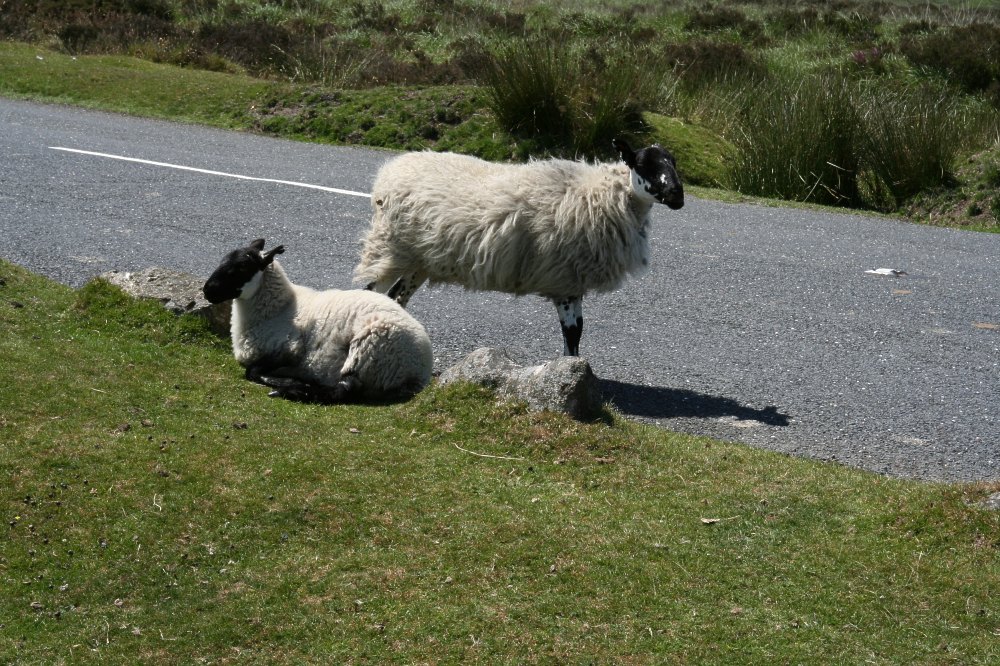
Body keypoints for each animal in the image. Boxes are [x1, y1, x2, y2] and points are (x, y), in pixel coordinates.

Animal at [203, 238, 433, 403]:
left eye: (242, 267)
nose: (207, 291)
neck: (279, 309)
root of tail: (420, 371)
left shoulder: (290, 350)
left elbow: (252, 371)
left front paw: (288, 382)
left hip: (370, 352)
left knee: (345, 389)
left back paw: (292, 391)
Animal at [353, 138, 683, 356]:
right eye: (642, 164)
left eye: (673, 163)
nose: (677, 196)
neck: (601, 194)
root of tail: (391, 168)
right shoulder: (564, 280)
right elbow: (573, 333)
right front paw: (571, 370)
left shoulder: (571, 280)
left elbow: (577, 331)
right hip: (390, 247)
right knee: (369, 293)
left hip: (419, 260)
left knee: (396, 297)